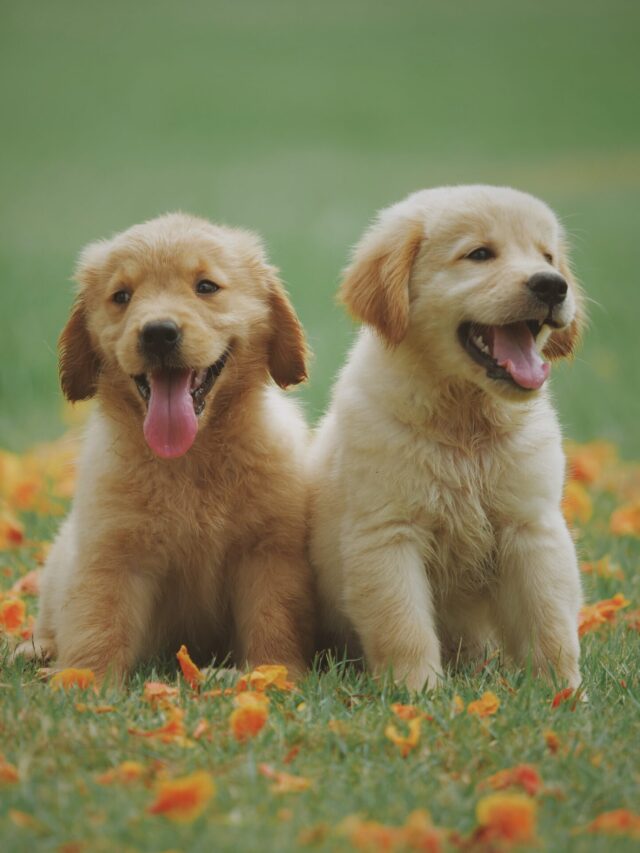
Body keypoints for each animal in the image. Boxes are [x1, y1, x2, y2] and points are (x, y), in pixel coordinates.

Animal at [15, 211, 316, 680]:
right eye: (121, 296)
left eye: (206, 287)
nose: (158, 333)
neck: (189, 459)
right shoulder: (111, 552)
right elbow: (97, 620)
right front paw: (82, 679)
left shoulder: (269, 552)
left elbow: (274, 618)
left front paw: (273, 673)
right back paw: (37, 650)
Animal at [310, 185, 584, 684]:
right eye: (479, 254)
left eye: (548, 256)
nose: (553, 285)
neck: (465, 423)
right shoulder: (388, 533)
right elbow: (403, 626)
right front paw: (417, 690)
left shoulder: (532, 528)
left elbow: (551, 622)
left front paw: (563, 691)